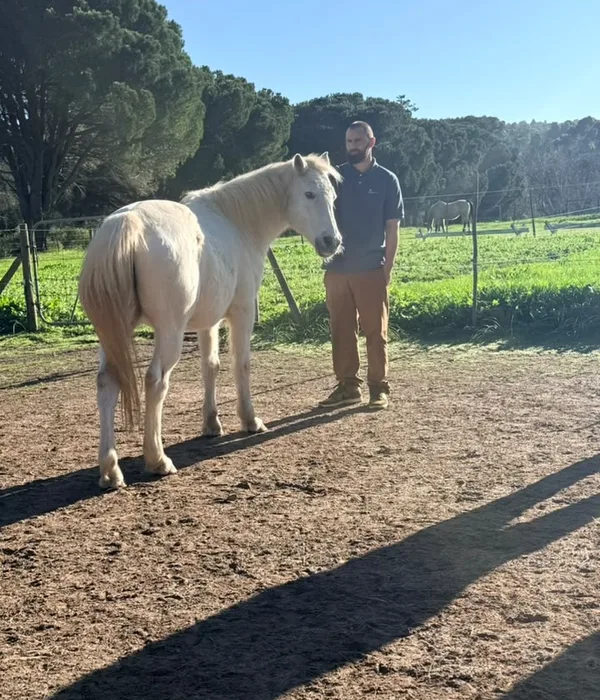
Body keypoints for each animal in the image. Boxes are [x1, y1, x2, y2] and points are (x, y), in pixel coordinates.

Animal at [78, 152, 343, 489]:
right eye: (309, 194)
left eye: (332, 197)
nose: (332, 242)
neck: (236, 222)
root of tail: (126, 223)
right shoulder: (242, 313)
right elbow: (241, 364)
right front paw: (250, 420)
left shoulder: (207, 322)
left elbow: (211, 367)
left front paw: (211, 423)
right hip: (169, 332)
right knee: (155, 381)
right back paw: (157, 459)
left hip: (112, 334)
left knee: (107, 384)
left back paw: (110, 470)